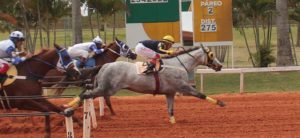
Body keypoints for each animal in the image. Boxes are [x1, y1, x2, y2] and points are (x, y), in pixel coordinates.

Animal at [77, 46, 225, 124]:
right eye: (212, 55)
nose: (220, 66)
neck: (178, 65)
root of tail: (104, 65)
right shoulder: (183, 87)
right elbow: (201, 94)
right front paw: (221, 103)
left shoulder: (170, 92)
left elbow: (170, 110)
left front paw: (173, 123)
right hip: (106, 89)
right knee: (85, 95)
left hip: (103, 88)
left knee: (86, 96)